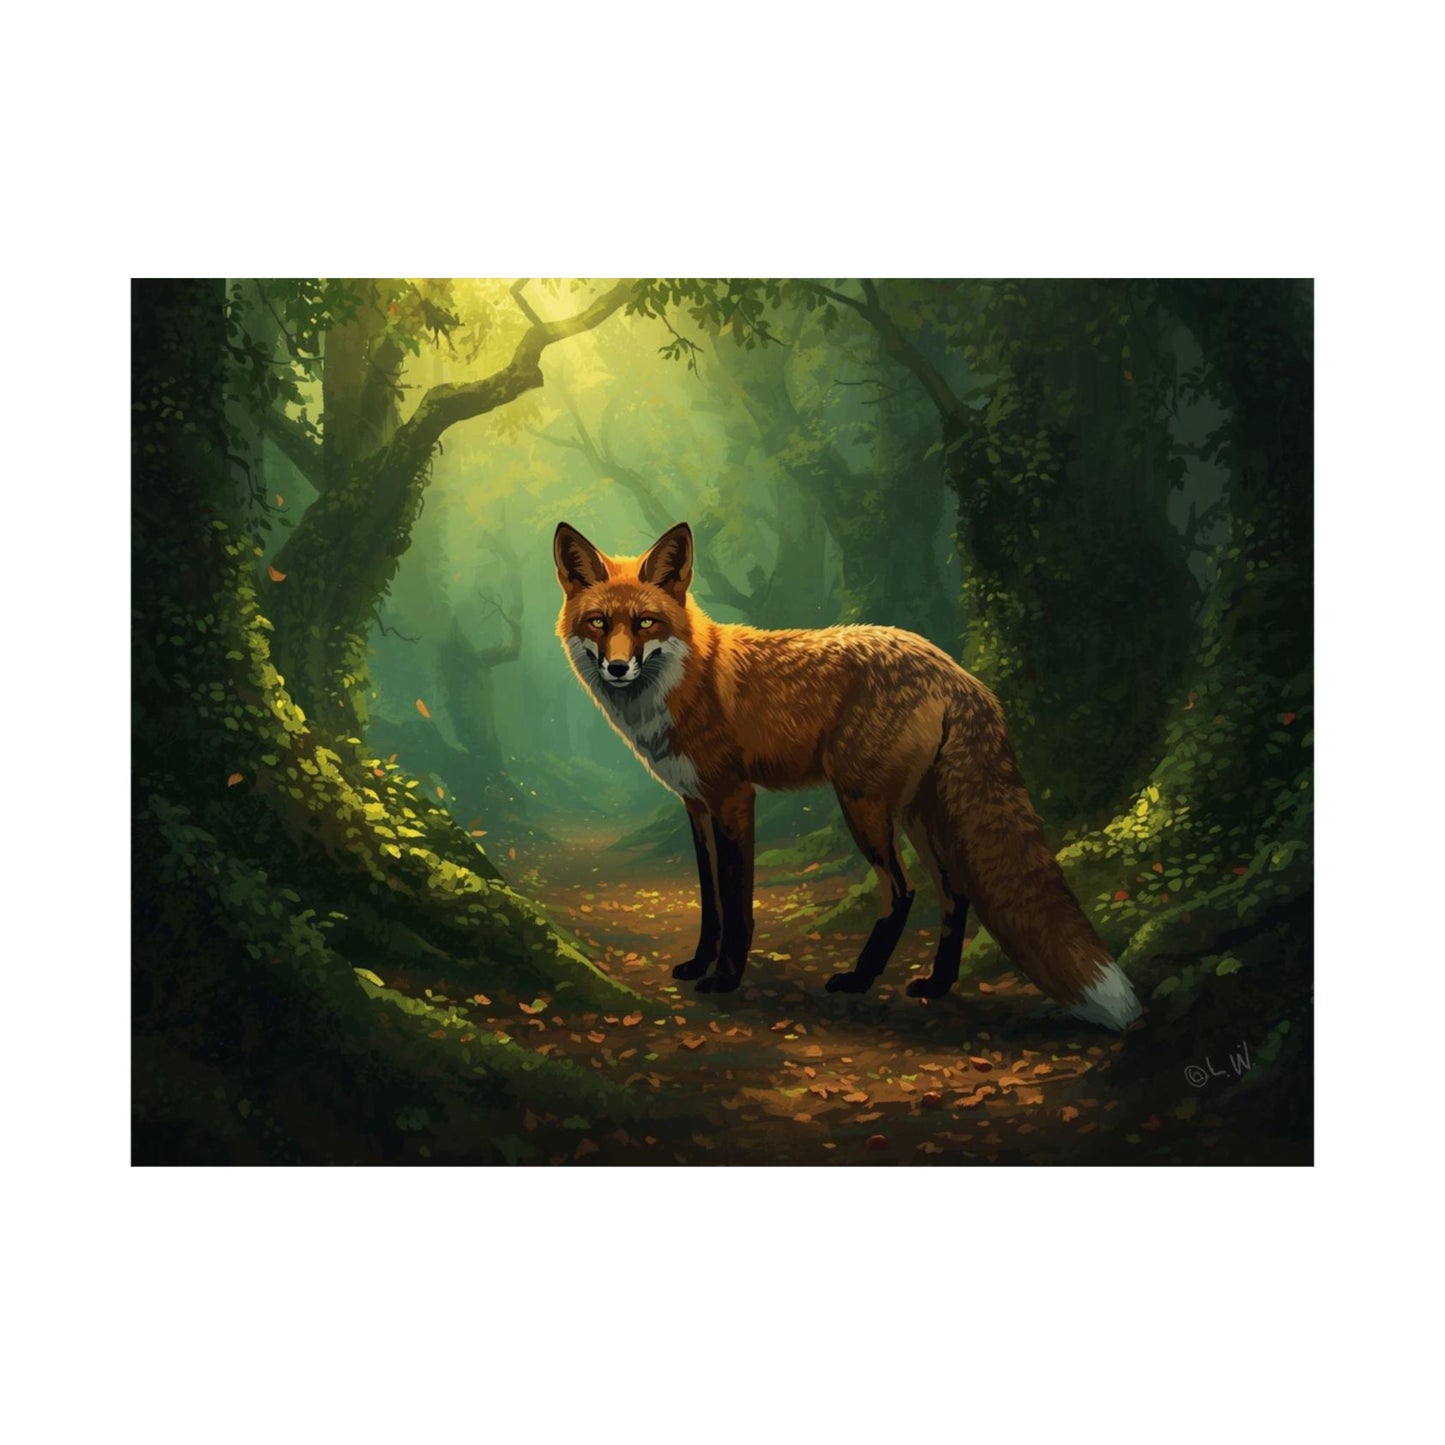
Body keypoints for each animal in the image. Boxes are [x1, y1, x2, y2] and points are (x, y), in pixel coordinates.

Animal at [553, 520, 1141, 1030]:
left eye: (646, 623)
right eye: (599, 623)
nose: (618, 668)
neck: (682, 680)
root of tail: (956, 669)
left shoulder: (733, 798)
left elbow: (738, 905)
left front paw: (725, 978)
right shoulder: (695, 805)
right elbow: (711, 905)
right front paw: (699, 964)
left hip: (864, 806)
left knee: (903, 893)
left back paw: (860, 978)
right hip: (917, 814)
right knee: (954, 894)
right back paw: (937, 984)